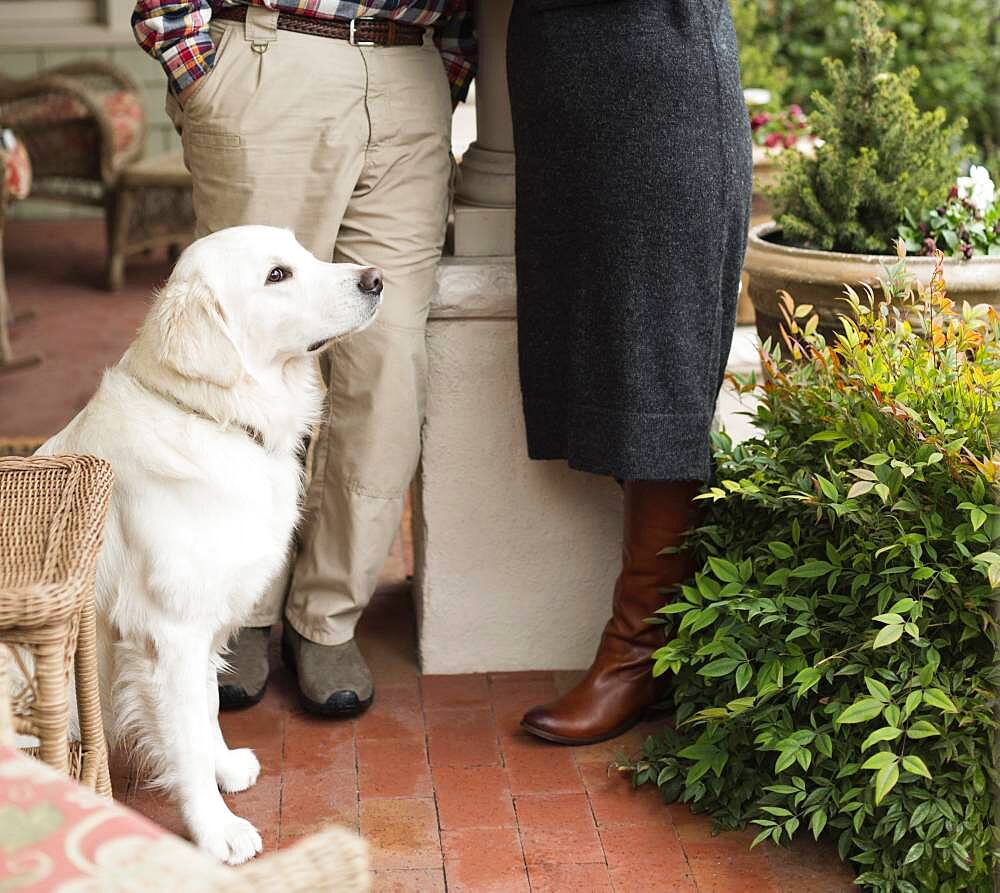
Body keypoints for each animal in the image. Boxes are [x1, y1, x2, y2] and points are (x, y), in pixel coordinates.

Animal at [37, 225, 380, 864]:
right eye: (277, 275)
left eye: (304, 253)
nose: (376, 279)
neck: (213, 414)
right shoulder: (168, 632)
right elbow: (187, 739)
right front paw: (216, 830)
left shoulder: (204, 620)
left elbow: (208, 707)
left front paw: (224, 767)